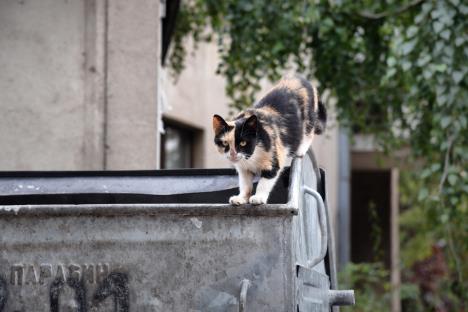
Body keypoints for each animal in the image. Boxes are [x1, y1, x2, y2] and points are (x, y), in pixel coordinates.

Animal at [212, 74, 326, 206]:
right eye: (225, 143)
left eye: (243, 143)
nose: (233, 154)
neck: (253, 156)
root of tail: (300, 77)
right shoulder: (244, 170)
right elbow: (245, 184)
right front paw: (241, 198)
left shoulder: (274, 157)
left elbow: (264, 182)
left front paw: (258, 198)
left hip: (309, 118)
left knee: (308, 132)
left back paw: (301, 149)